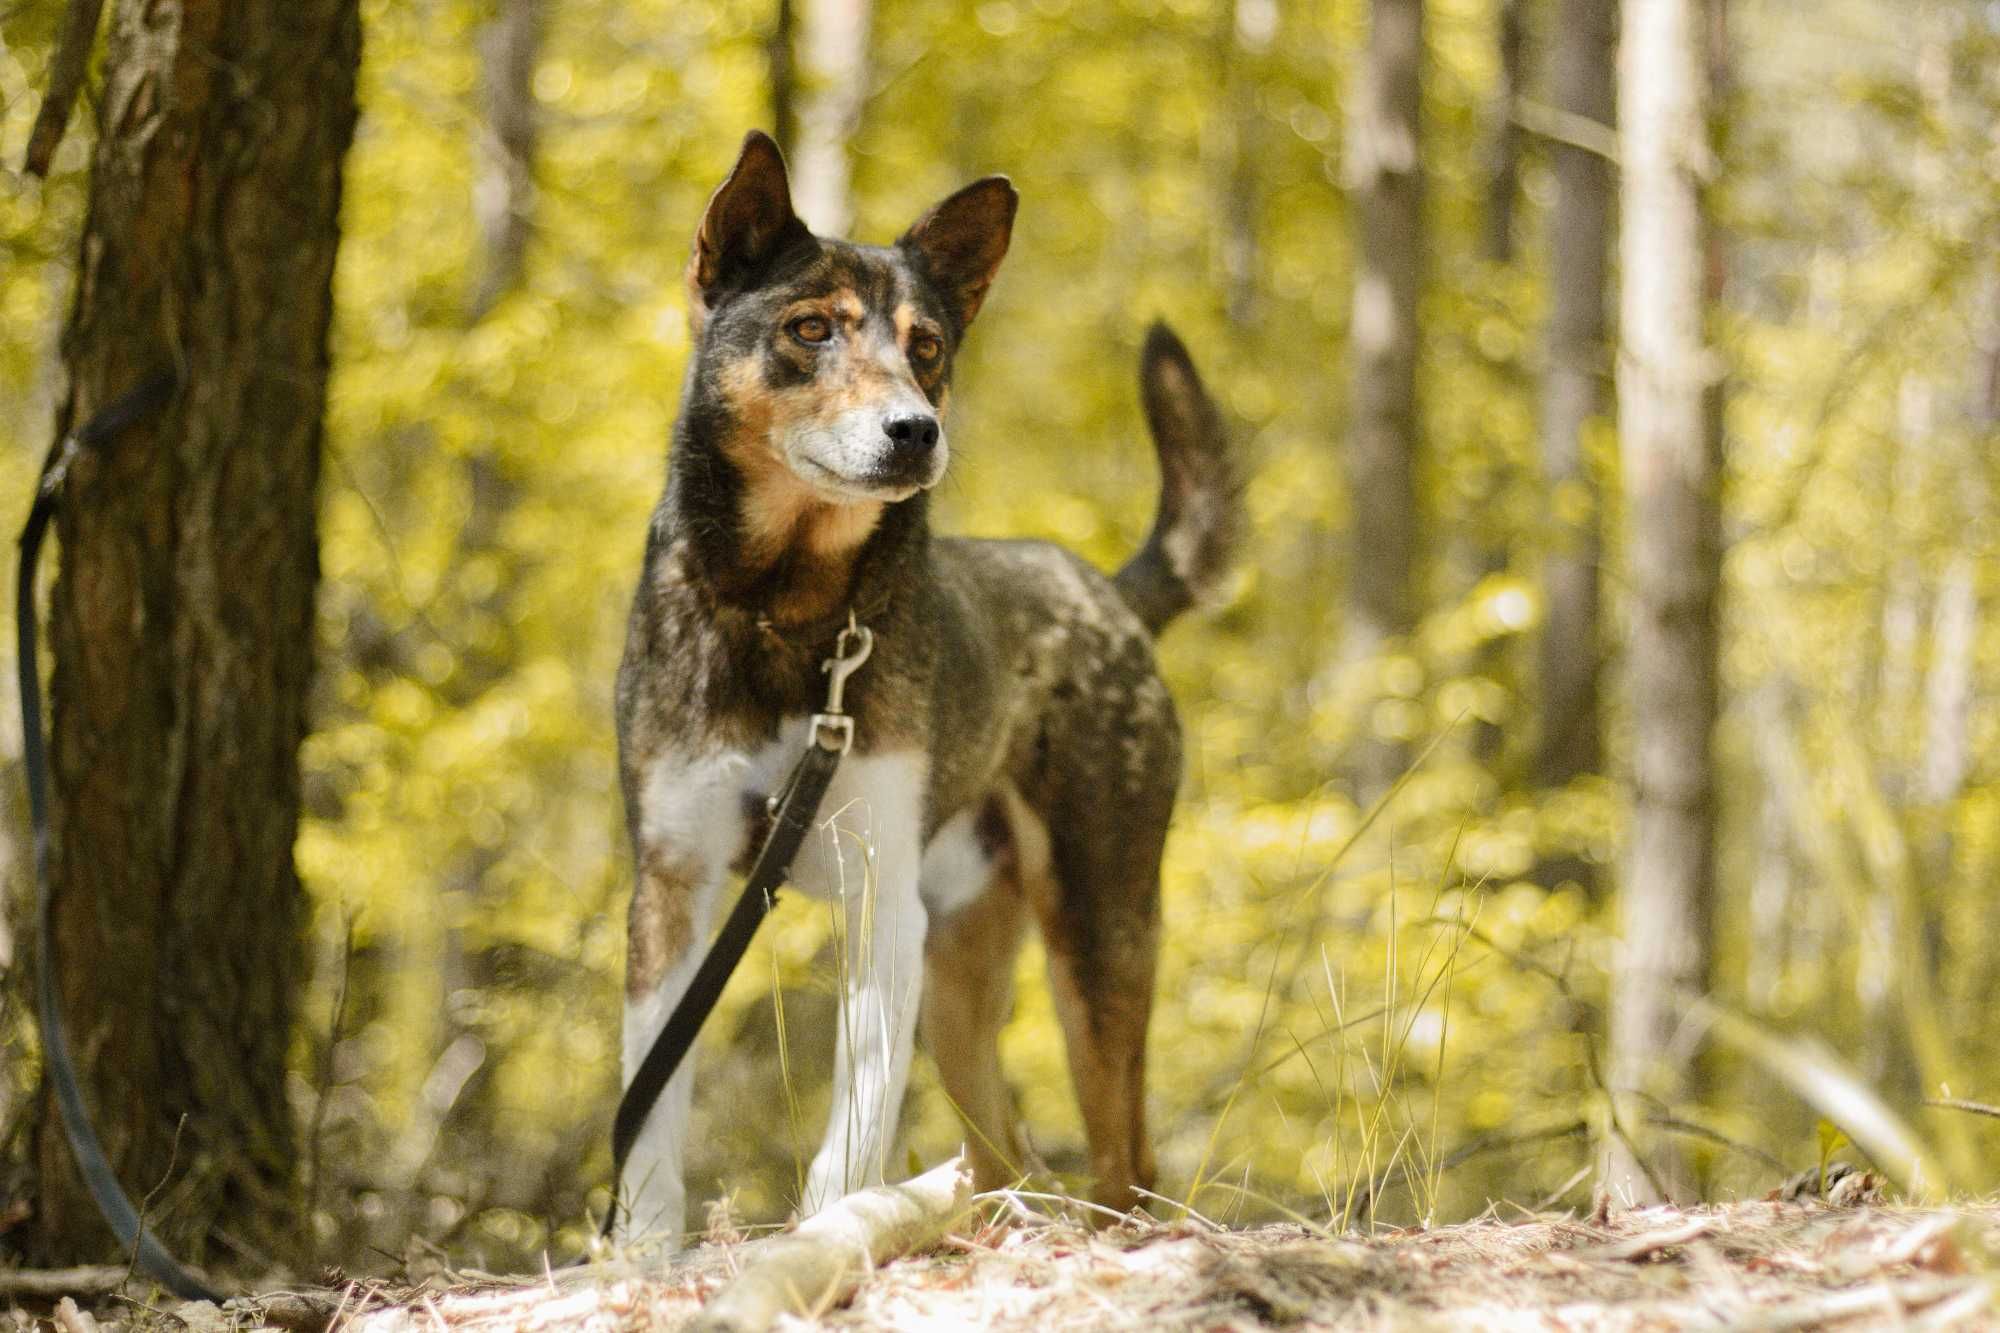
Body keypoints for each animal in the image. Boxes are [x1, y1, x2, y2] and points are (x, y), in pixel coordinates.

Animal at [612, 130, 1232, 1240]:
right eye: (809, 328)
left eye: (928, 347)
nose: (914, 431)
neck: (788, 610)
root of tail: (1105, 594)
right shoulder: (669, 889)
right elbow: (650, 1122)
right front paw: (638, 1255)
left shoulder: (878, 899)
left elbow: (852, 1124)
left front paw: (823, 1229)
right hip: (957, 978)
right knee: (1004, 1151)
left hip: (1097, 928)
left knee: (1123, 1154)